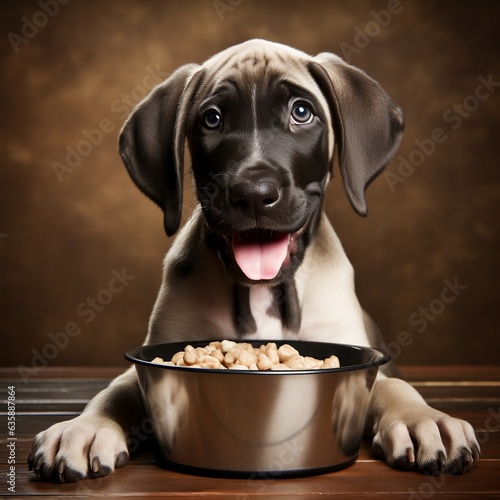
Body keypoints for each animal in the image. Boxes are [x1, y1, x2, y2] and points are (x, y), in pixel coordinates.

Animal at [28, 40, 480, 484]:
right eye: (212, 119)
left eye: (302, 112)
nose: (254, 194)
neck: (263, 293)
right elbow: (116, 390)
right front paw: (85, 427)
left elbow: (392, 387)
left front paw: (422, 417)